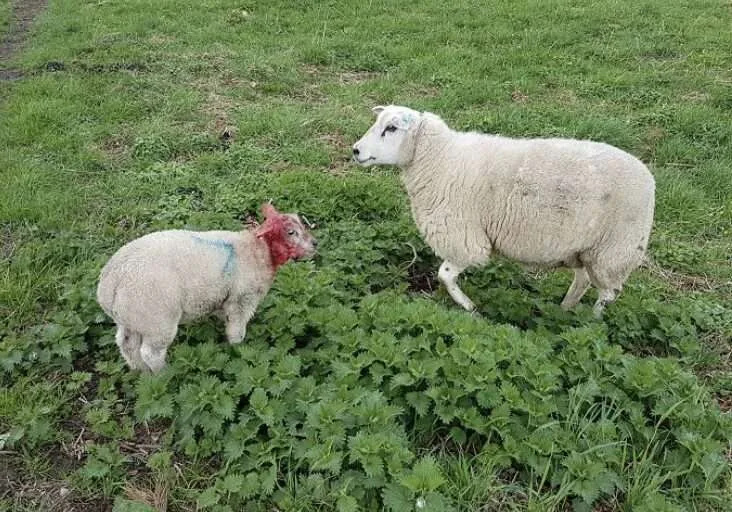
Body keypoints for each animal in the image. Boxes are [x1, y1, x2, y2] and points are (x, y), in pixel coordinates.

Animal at [97, 203, 317, 372]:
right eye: (291, 232)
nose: (315, 243)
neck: (258, 252)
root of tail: (110, 282)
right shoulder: (242, 300)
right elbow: (236, 332)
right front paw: (238, 351)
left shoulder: (225, 299)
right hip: (157, 319)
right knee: (151, 353)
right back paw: (163, 375)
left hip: (132, 318)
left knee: (127, 345)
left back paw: (141, 373)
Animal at [352, 105, 655, 318]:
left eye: (391, 128)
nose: (355, 150)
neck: (439, 158)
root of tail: (649, 178)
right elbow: (444, 275)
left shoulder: (465, 238)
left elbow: (445, 274)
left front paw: (469, 307)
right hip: (585, 248)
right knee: (583, 281)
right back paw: (565, 309)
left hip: (615, 250)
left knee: (608, 293)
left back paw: (592, 322)